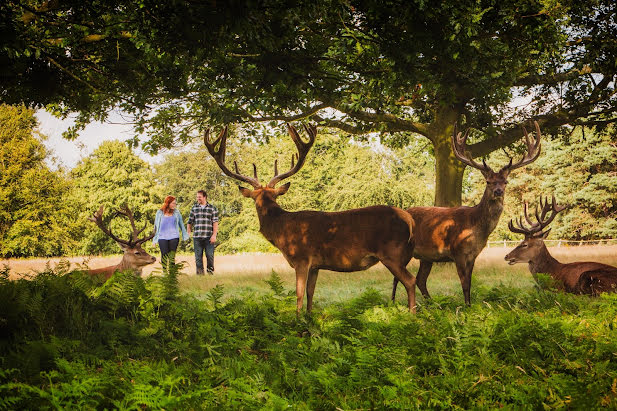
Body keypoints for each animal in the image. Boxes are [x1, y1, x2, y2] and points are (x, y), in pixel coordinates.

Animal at [205, 124, 416, 312]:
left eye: (256, 201)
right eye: (261, 198)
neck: (282, 230)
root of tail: (408, 219)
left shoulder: (301, 259)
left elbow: (298, 295)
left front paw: (297, 322)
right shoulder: (316, 265)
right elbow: (310, 294)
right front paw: (309, 320)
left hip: (392, 253)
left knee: (411, 280)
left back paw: (412, 315)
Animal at [394, 120, 540, 304]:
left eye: (505, 181)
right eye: (488, 181)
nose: (498, 191)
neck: (475, 227)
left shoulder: (473, 255)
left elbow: (469, 284)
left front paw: (469, 305)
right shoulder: (458, 252)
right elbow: (464, 284)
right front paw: (466, 306)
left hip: (426, 257)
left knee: (420, 279)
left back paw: (432, 304)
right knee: (399, 277)